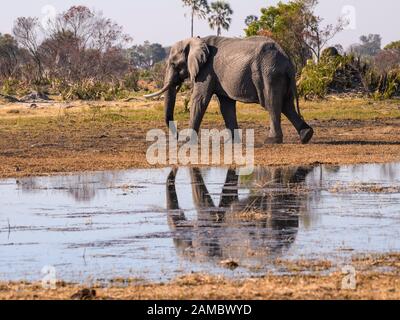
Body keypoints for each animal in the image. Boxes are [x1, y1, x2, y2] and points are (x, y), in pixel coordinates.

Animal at [145, 35, 314, 144]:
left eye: (174, 64)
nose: (178, 137)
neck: (195, 40)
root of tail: (287, 60)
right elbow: (226, 105)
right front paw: (232, 141)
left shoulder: (206, 71)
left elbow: (200, 100)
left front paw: (187, 141)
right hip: (280, 76)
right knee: (287, 105)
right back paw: (306, 135)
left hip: (269, 74)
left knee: (272, 104)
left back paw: (272, 141)